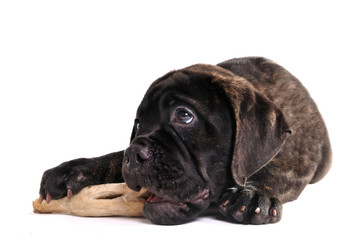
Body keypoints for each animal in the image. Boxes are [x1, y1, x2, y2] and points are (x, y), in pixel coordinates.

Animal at [39, 56, 332, 225]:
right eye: (138, 124)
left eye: (184, 115)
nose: (134, 154)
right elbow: (112, 157)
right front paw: (73, 170)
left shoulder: (299, 157)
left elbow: (277, 172)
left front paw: (253, 193)